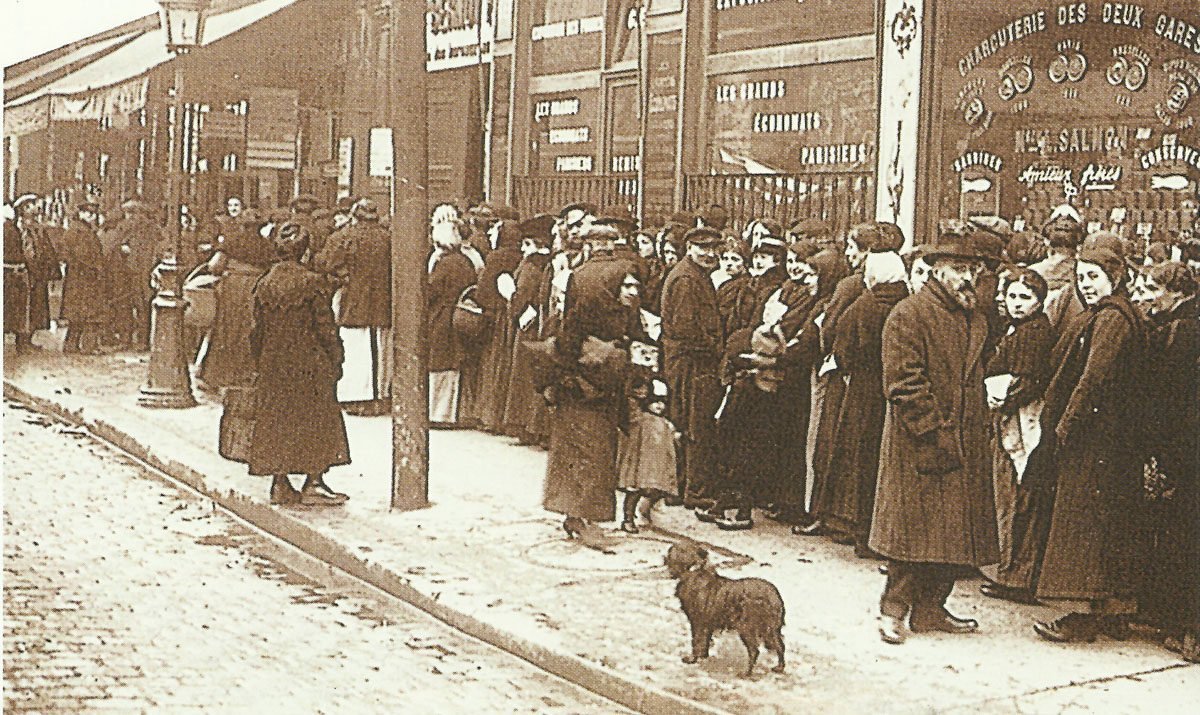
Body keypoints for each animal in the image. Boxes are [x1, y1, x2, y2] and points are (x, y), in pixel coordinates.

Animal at [667, 542, 787, 676]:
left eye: (681, 550)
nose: (669, 552)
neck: (695, 571)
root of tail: (774, 596)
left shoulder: (697, 621)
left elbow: (696, 641)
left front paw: (692, 659)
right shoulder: (707, 623)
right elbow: (705, 641)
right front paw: (703, 656)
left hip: (747, 627)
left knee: (754, 650)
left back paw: (746, 672)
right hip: (770, 629)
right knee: (780, 646)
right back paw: (779, 667)